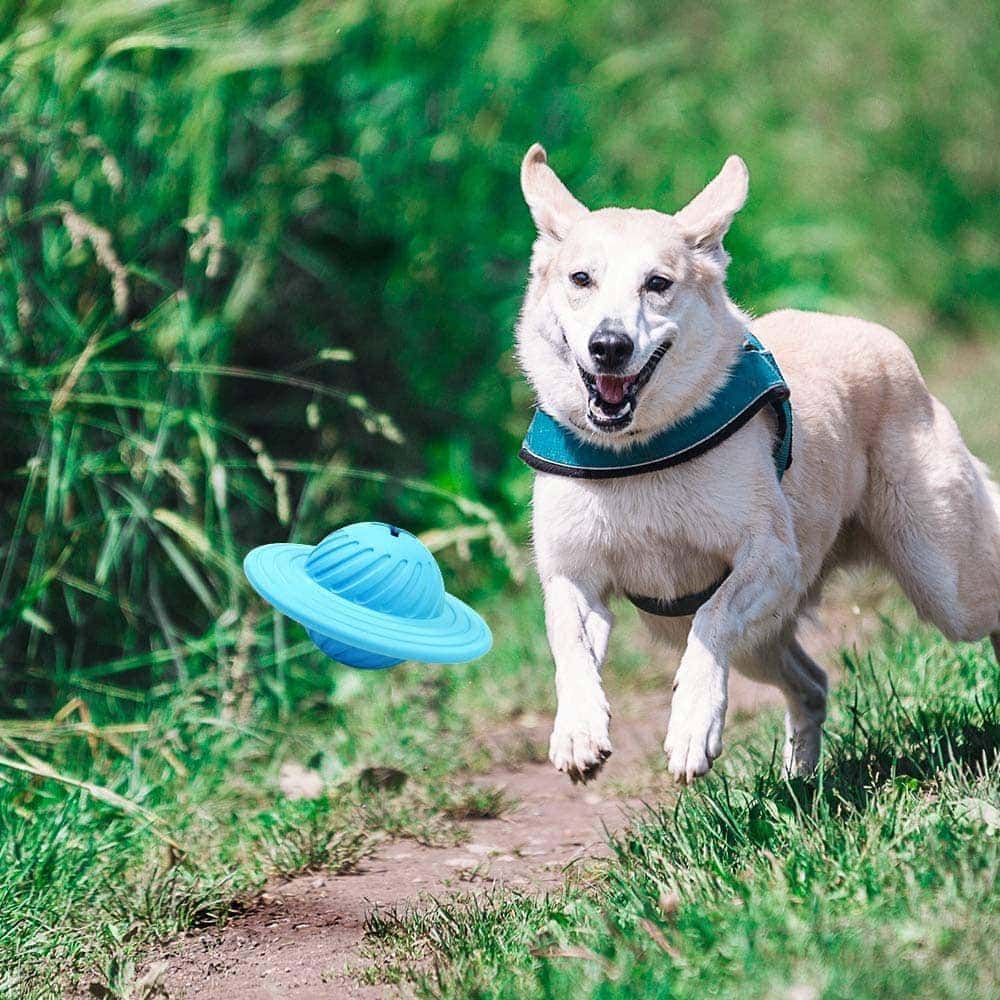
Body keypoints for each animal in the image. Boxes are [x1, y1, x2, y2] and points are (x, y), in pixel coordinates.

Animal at [516, 143, 1000, 780]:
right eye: (580, 278)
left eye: (657, 283)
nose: (609, 346)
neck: (638, 454)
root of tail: (882, 338)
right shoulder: (574, 576)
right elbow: (568, 644)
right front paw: (577, 732)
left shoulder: (769, 559)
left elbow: (712, 619)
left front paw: (692, 727)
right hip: (759, 642)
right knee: (812, 683)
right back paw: (800, 778)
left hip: (945, 580)